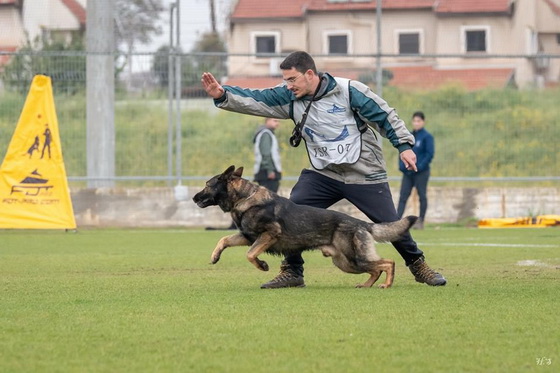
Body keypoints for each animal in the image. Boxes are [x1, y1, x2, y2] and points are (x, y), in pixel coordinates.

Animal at [192, 166, 416, 288]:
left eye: (207, 185)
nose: (193, 198)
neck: (245, 199)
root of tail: (362, 223)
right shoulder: (247, 237)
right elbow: (224, 239)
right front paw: (215, 256)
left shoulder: (268, 235)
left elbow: (250, 254)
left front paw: (262, 265)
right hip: (346, 263)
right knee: (376, 269)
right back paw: (367, 285)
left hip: (353, 259)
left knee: (388, 263)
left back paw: (386, 284)